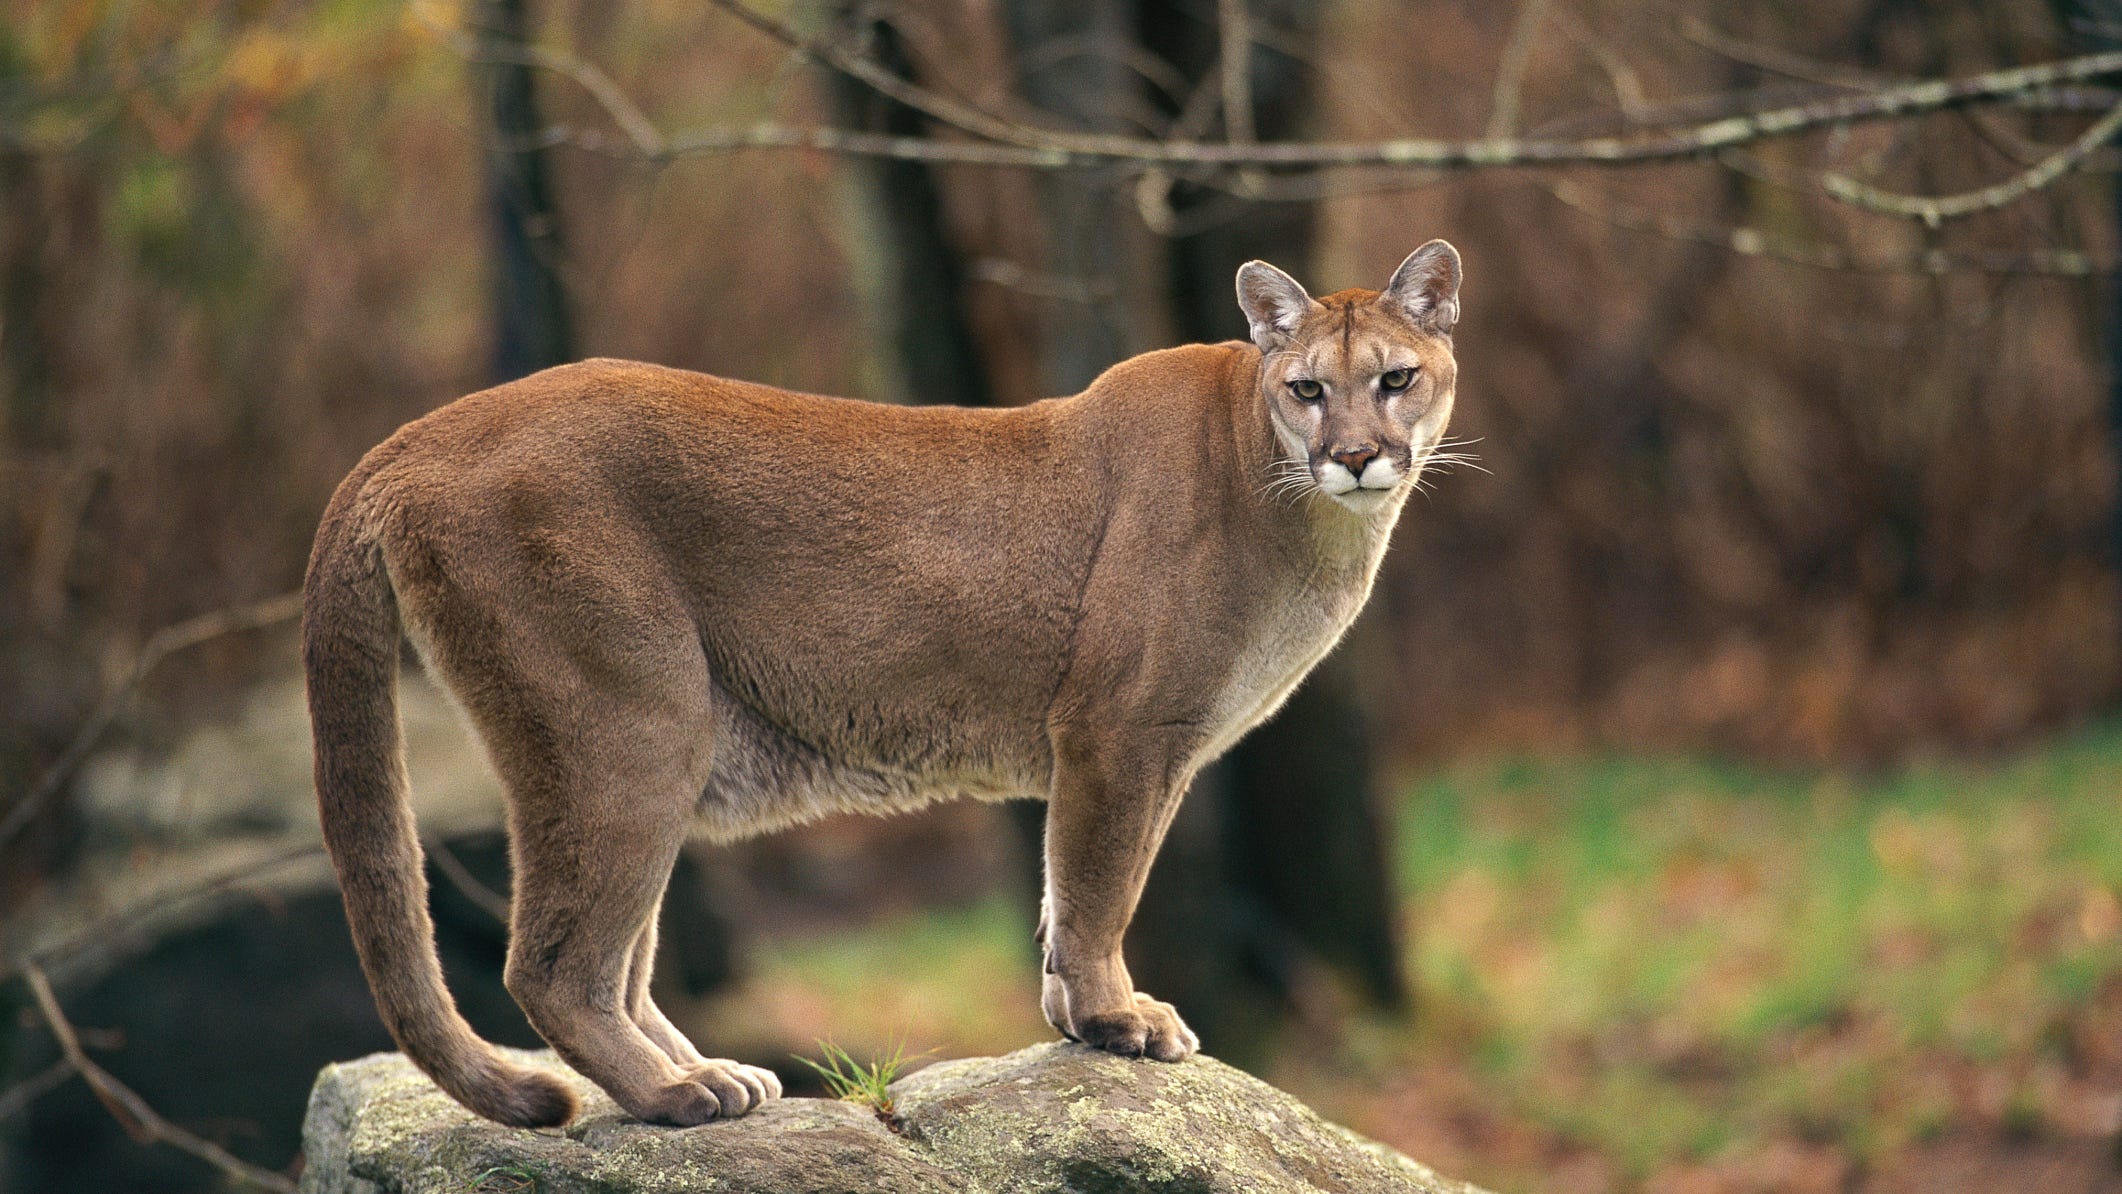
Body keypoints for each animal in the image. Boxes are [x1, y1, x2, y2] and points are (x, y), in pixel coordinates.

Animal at [303, 240, 1459, 1119]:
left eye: (1395, 379)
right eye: (1308, 389)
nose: (1357, 454)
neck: (1301, 508)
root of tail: (419, 433)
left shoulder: (1129, 750)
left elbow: (1061, 892)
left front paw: (1075, 1020)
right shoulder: (1120, 736)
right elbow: (1098, 887)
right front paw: (1116, 1020)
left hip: (647, 750)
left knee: (615, 957)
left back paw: (711, 1073)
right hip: (631, 728)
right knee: (550, 963)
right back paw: (672, 1096)